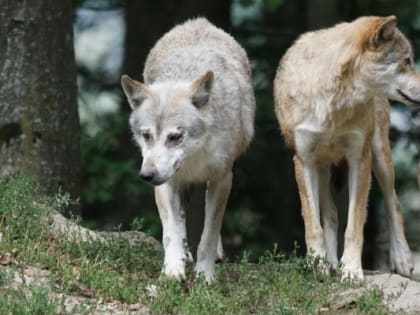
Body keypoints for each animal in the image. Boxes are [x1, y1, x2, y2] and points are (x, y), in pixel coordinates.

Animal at [120, 17, 254, 284]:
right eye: (147, 136)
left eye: (175, 137)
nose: (146, 176)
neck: (194, 158)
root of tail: (198, 21)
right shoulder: (166, 183)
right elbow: (170, 232)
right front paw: (173, 270)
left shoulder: (223, 179)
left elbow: (209, 234)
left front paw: (205, 275)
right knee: (181, 218)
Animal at [274, 16, 418, 280]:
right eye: (407, 61)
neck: (333, 102)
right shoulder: (304, 161)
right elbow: (314, 225)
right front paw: (318, 265)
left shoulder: (360, 159)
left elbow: (355, 224)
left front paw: (351, 269)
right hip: (322, 168)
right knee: (330, 214)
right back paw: (330, 262)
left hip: (380, 156)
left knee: (394, 202)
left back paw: (401, 259)